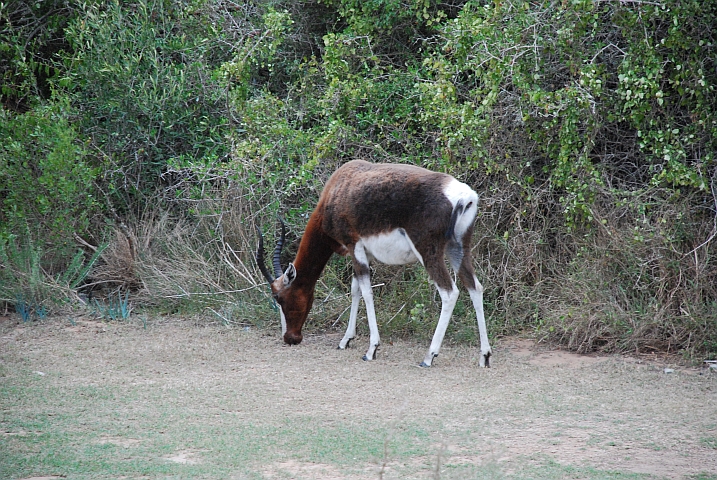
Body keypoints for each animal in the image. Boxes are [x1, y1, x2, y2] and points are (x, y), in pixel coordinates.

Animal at [258, 161, 492, 368]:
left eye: (279, 298)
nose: (290, 338)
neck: (339, 188)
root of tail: (464, 196)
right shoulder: (364, 253)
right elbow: (355, 290)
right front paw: (345, 340)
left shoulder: (354, 246)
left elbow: (367, 292)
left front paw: (371, 350)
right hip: (458, 248)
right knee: (475, 287)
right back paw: (485, 356)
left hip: (429, 252)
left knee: (450, 292)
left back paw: (429, 357)